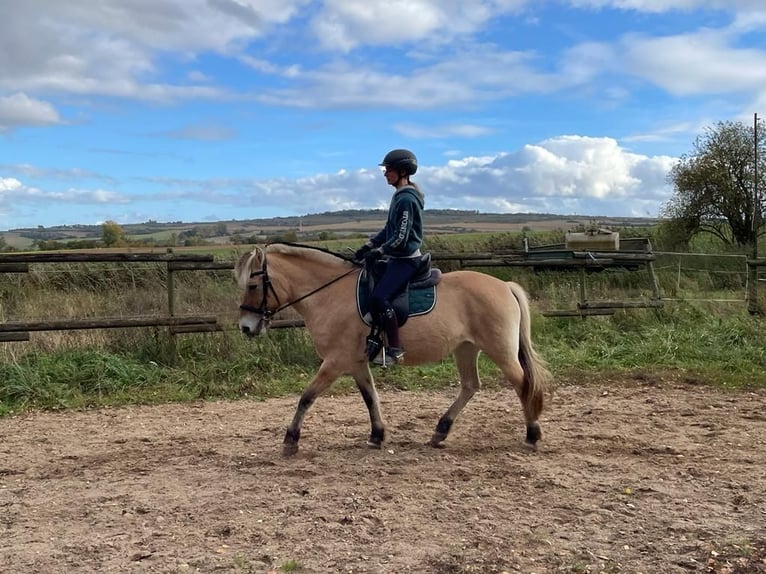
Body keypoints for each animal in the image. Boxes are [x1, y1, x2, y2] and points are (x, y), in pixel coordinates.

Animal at [234, 244, 552, 460]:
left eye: (253, 284)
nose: (246, 328)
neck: (329, 295)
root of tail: (505, 286)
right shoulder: (355, 361)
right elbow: (370, 397)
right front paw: (377, 435)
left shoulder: (335, 361)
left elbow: (307, 397)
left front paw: (291, 439)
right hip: (466, 348)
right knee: (470, 386)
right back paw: (440, 431)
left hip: (500, 350)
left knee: (522, 384)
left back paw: (532, 435)